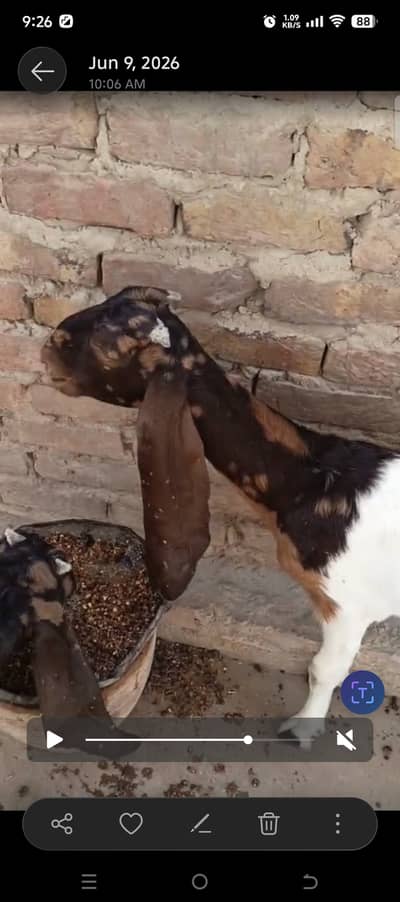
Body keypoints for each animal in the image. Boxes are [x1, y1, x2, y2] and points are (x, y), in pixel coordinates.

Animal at [42, 286, 399, 740]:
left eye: (110, 347)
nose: (47, 349)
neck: (313, 480)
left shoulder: (347, 606)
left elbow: (325, 669)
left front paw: (302, 730)